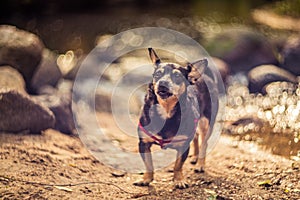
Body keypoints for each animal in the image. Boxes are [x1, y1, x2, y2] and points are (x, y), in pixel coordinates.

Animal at [134, 47, 218, 188]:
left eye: (177, 76)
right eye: (157, 74)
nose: (163, 83)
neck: (166, 111)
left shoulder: (183, 145)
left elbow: (178, 165)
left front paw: (179, 180)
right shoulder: (143, 143)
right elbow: (149, 164)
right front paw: (146, 179)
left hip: (206, 123)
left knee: (204, 143)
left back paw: (200, 164)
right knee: (196, 138)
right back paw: (195, 157)